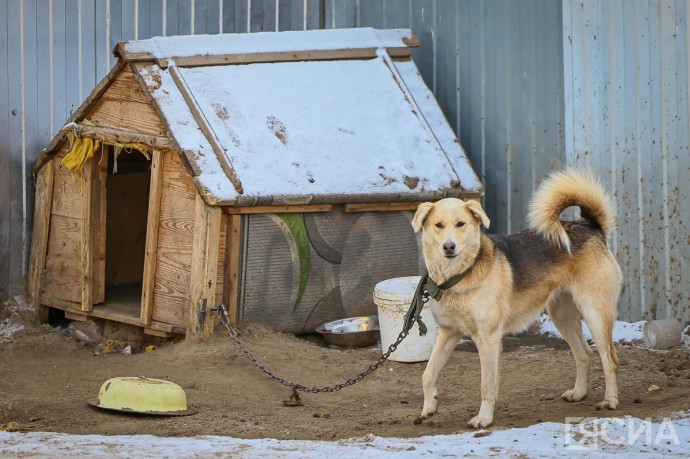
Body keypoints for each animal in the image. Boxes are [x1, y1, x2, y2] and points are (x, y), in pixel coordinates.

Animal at [412, 170, 620, 432]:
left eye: (461, 224)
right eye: (438, 225)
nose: (449, 247)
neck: (460, 276)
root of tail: (591, 226)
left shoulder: (488, 339)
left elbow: (487, 385)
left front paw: (484, 418)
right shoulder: (449, 333)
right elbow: (427, 374)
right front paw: (429, 407)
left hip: (595, 314)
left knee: (609, 359)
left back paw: (610, 401)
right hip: (562, 316)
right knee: (584, 354)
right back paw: (579, 393)